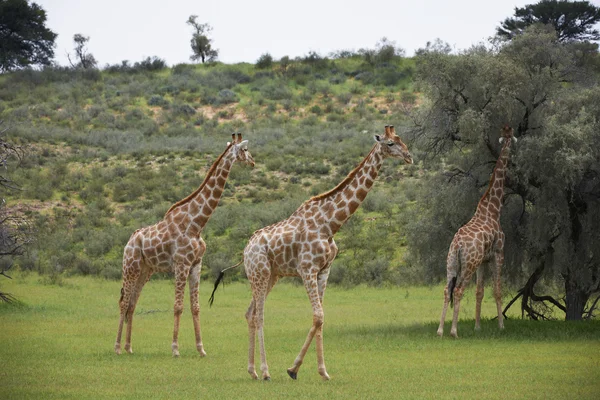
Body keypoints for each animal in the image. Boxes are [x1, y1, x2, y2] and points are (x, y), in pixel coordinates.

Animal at [113, 132, 254, 356]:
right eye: (246, 150)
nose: (253, 162)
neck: (196, 224)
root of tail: (128, 242)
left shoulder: (196, 264)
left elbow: (195, 307)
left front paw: (201, 349)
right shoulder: (181, 264)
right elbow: (178, 306)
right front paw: (175, 349)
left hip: (145, 270)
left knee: (132, 303)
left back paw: (129, 347)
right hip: (130, 266)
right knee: (124, 302)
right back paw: (117, 347)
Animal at [210, 126, 412, 382]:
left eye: (401, 139)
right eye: (390, 143)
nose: (409, 157)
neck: (330, 224)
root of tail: (245, 250)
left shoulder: (324, 270)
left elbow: (321, 319)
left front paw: (321, 371)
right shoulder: (307, 269)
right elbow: (318, 316)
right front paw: (293, 369)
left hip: (272, 275)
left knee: (250, 313)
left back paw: (252, 370)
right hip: (259, 273)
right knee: (259, 315)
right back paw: (265, 371)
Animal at [436, 125, 516, 338]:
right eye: (512, 138)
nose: (511, 151)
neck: (493, 209)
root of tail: (457, 245)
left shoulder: (483, 261)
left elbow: (480, 292)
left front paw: (478, 326)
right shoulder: (498, 253)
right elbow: (497, 290)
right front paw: (501, 326)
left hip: (451, 262)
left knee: (447, 290)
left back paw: (440, 330)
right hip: (468, 264)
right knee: (458, 290)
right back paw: (453, 331)